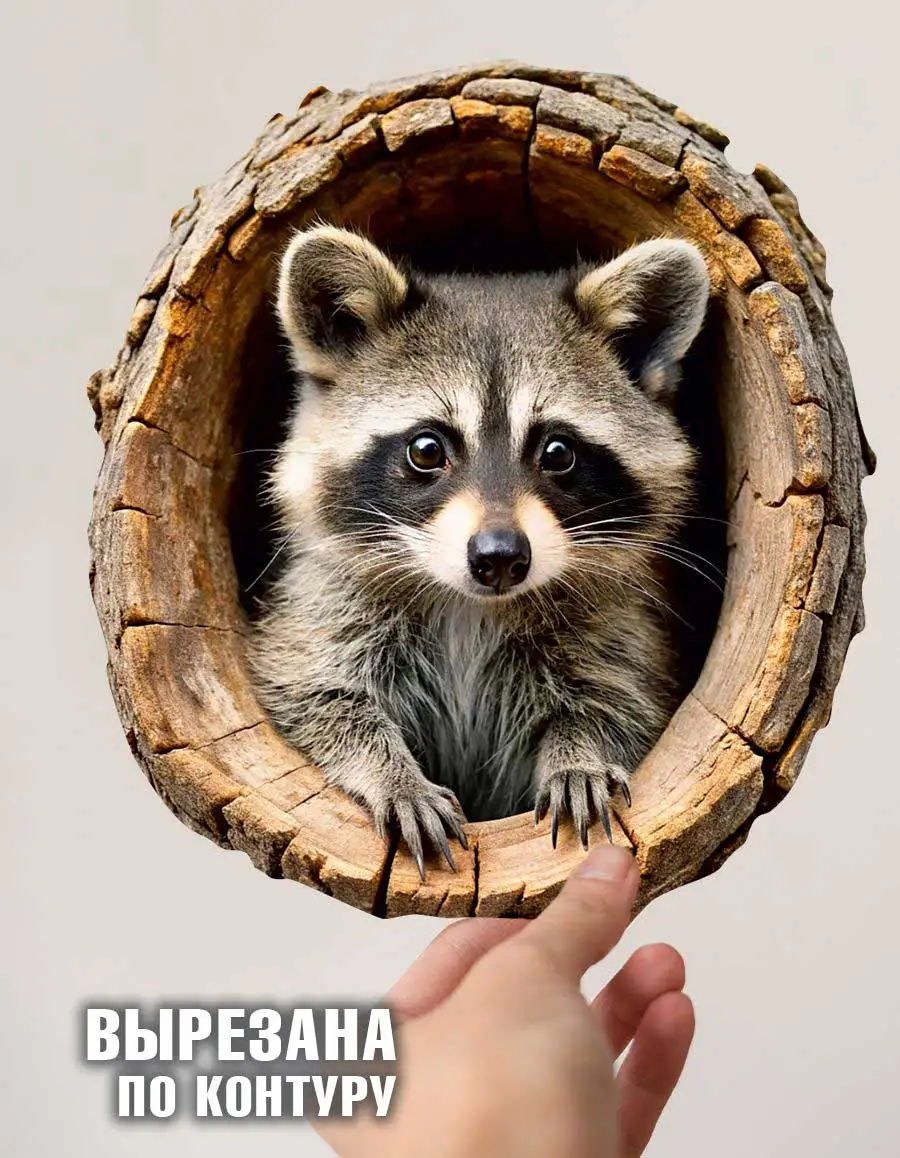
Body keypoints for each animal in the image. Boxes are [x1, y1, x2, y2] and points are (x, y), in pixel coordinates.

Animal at [249, 225, 710, 878]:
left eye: (558, 452)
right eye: (426, 449)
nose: (498, 556)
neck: (471, 605)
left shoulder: (620, 625)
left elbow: (620, 698)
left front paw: (580, 753)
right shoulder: (324, 606)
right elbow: (314, 693)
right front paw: (391, 773)